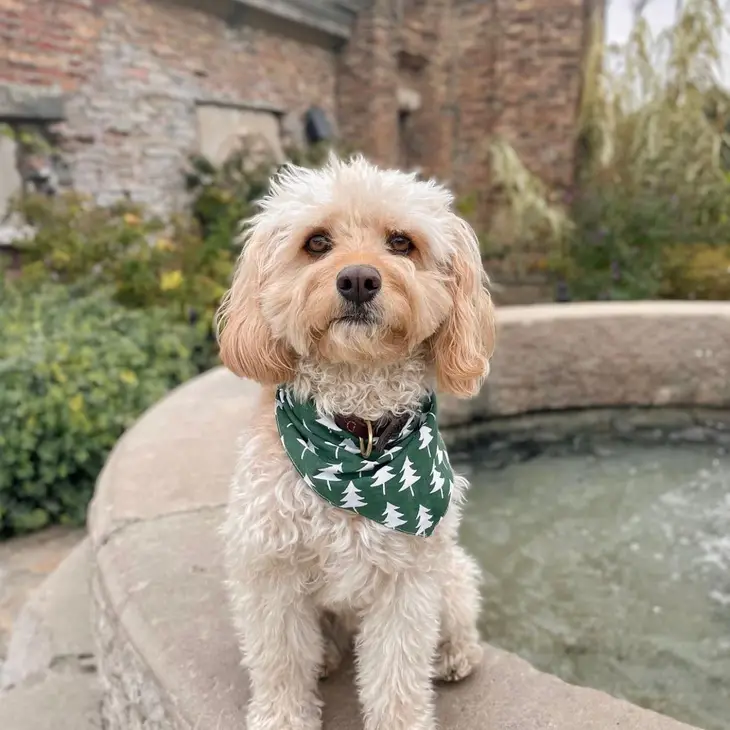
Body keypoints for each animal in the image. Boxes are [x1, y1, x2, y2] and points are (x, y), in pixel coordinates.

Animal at [216, 155, 494, 728]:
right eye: (317, 242)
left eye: (401, 242)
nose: (359, 279)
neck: (355, 433)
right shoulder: (269, 567)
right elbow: (280, 659)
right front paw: (283, 716)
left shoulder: (406, 580)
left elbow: (397, 674)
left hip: (450, 573)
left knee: (458, 616)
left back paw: (456, 654)